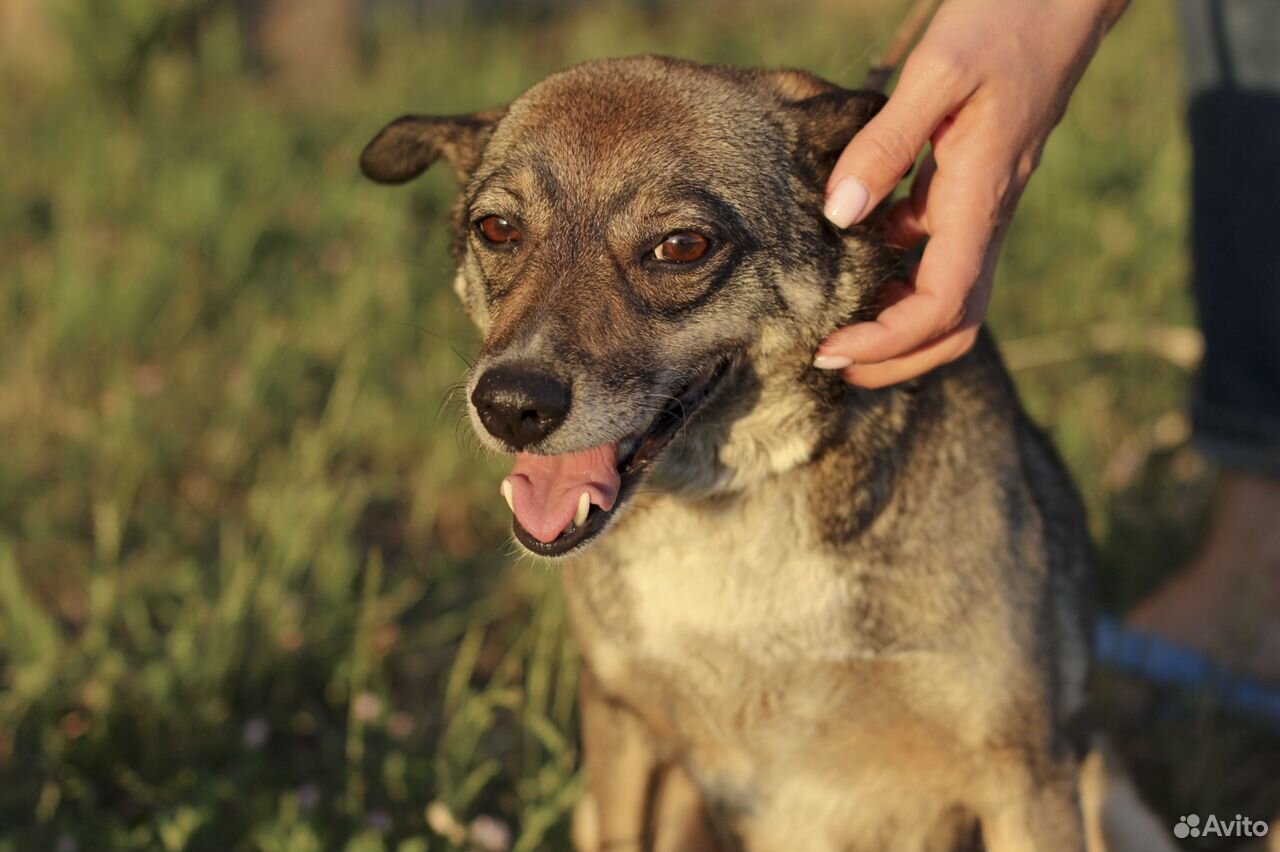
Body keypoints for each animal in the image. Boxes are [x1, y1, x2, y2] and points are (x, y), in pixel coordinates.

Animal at [366, 54, 1095, 849]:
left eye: (681, 246)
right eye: (497, 228)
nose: (509, 407)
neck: (729, 503)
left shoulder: (1025, 775)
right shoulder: (623, 728)